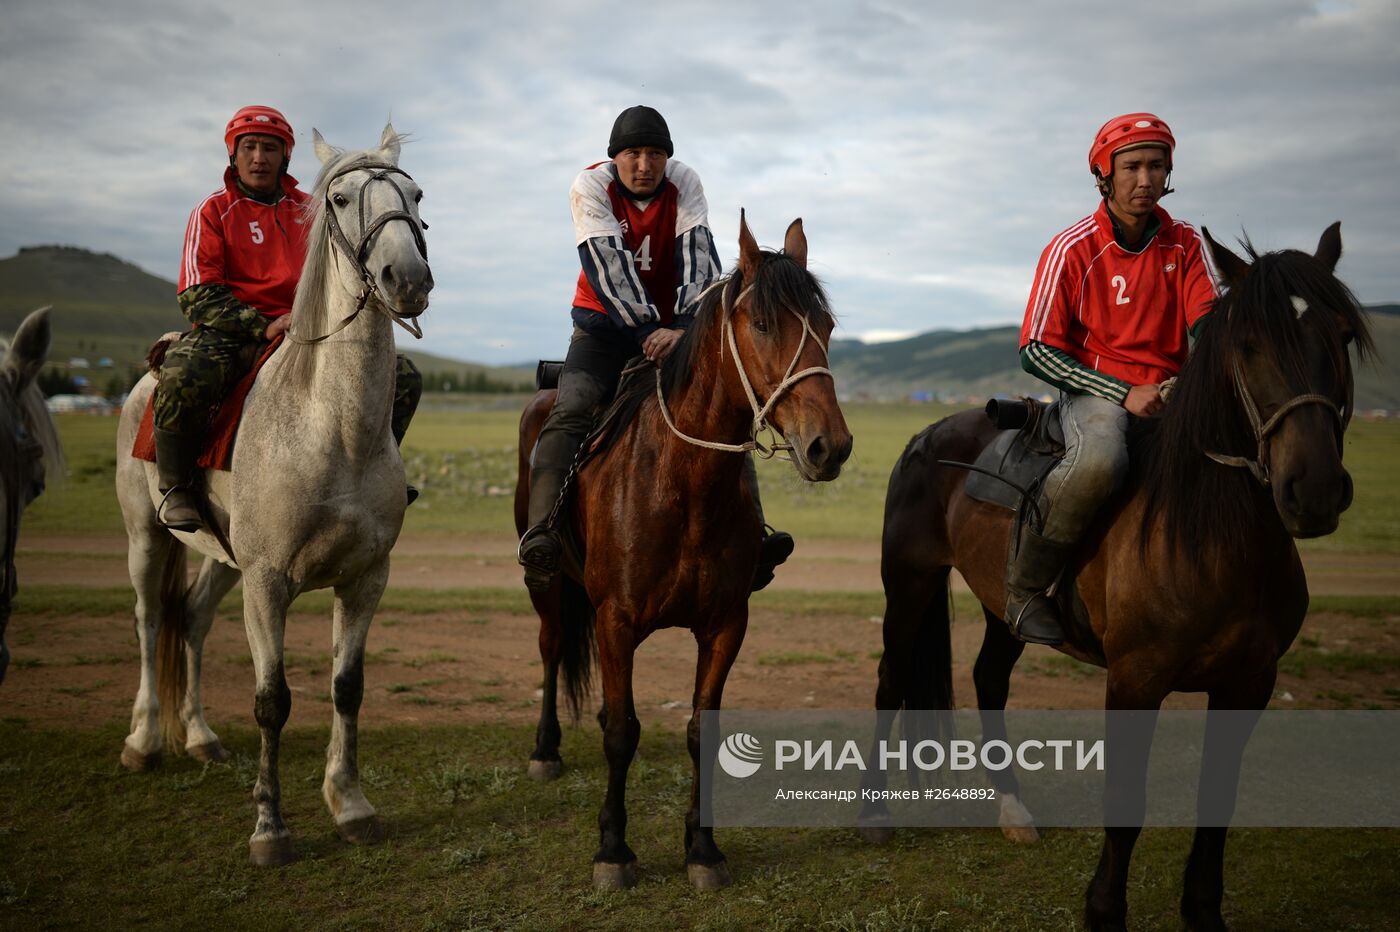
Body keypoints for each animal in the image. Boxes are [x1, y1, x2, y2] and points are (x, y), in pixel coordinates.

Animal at [113, 123, 431, 862]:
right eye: (339, 198)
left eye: (416, 196)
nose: (408, 279)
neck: (334, 427)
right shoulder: (267, 582)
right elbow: (272, 701)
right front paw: (270, 827)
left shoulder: (366, 579)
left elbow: (347, 689)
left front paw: (351, 804)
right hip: (148, 539)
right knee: (150, 621)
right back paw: (144, 741)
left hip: (222, 558)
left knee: (192, 619)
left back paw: (200, 737)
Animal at [515, 214, 851, 890]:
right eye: (764, 323)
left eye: (826, 327)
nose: (830, 446)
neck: (682, 484)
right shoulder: (616, 621)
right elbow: (622, 733)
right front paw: (613, 850)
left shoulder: (725, 624)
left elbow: (700, 730)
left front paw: (702, 847)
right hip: (549, 584)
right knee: (552, 647)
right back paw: (545, 749)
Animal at [868, 225, 1372, 929]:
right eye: (1248, 344)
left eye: (1343, 334)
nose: (1316, 489)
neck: (1211, 537)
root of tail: (929, 433)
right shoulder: (1135, 681)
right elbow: (1126, 804)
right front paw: (1104, 910)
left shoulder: (1250, 684)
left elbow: (1217, 805)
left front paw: (1202, 912)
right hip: (910, 583)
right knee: (891, 679)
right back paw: (874, 814)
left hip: (1003, 606)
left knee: (989, 678)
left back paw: (1012, 808)